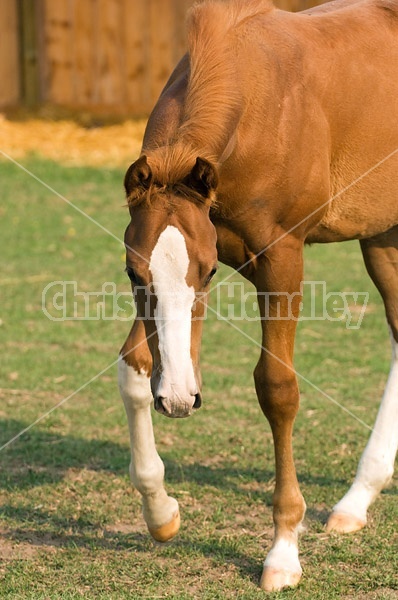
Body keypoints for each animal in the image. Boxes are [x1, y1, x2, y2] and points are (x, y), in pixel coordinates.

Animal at [118, 0, 398, 592]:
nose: (179, 400)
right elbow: (136, 365)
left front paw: (283, 552)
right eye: (132, 272)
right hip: (382, 234)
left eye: (205, 274)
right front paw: (161, 512)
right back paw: (357, 500)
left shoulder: (281, 259)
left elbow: (277, 389)